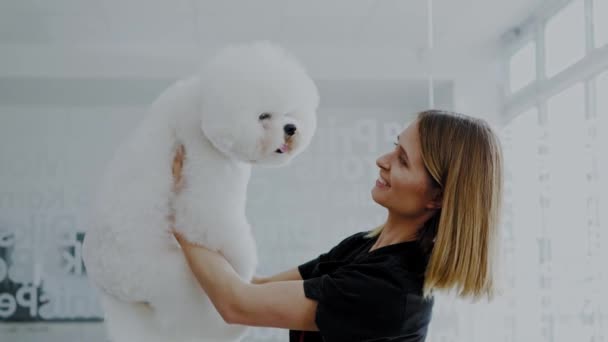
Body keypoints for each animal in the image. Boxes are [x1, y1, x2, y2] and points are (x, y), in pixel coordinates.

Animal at [83, 40, 320, 342]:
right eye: (263, 116)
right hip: (174, 281)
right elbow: (212, 227)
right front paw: (243, 262)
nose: (291, 128)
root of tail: (109, 286)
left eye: (289, 112)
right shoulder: (203, 172)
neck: (202, 107)